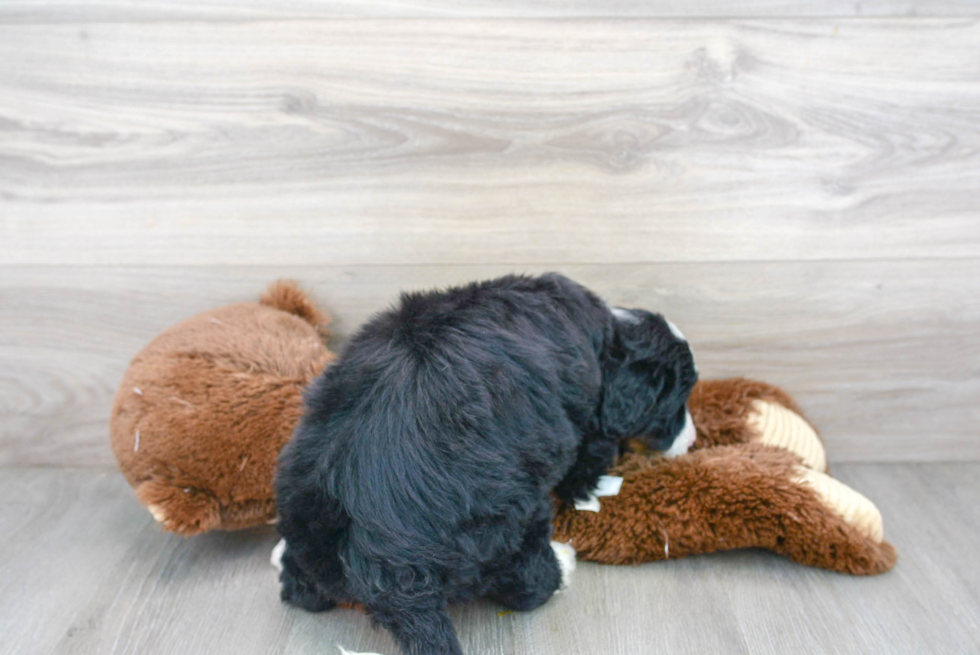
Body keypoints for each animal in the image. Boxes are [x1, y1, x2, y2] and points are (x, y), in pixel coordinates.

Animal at [274, 272, 696, 655]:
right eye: (678, 398)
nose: (692, 441)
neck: (611, 336)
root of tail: (376, 556)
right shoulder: (590, 420)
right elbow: (590, 458)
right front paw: (591, 486)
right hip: (509, 518)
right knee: (526, 579)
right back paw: (561, 566)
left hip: (303, 501)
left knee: (304, 585)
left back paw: (288, 569)